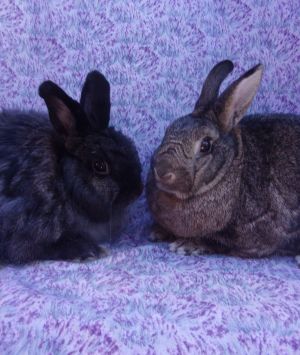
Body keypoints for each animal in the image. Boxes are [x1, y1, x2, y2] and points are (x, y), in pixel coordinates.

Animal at [0, 71, 143, 264]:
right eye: (100, 166)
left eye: (129, 146)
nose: (137, 190)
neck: (62, 179)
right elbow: (38, 248)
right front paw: (90, 251)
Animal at [146, 59, 300, 266]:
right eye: (168, 129)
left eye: (205, 145)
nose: (162, 170)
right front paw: (157, 232)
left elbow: (216, 242)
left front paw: (185, 245)